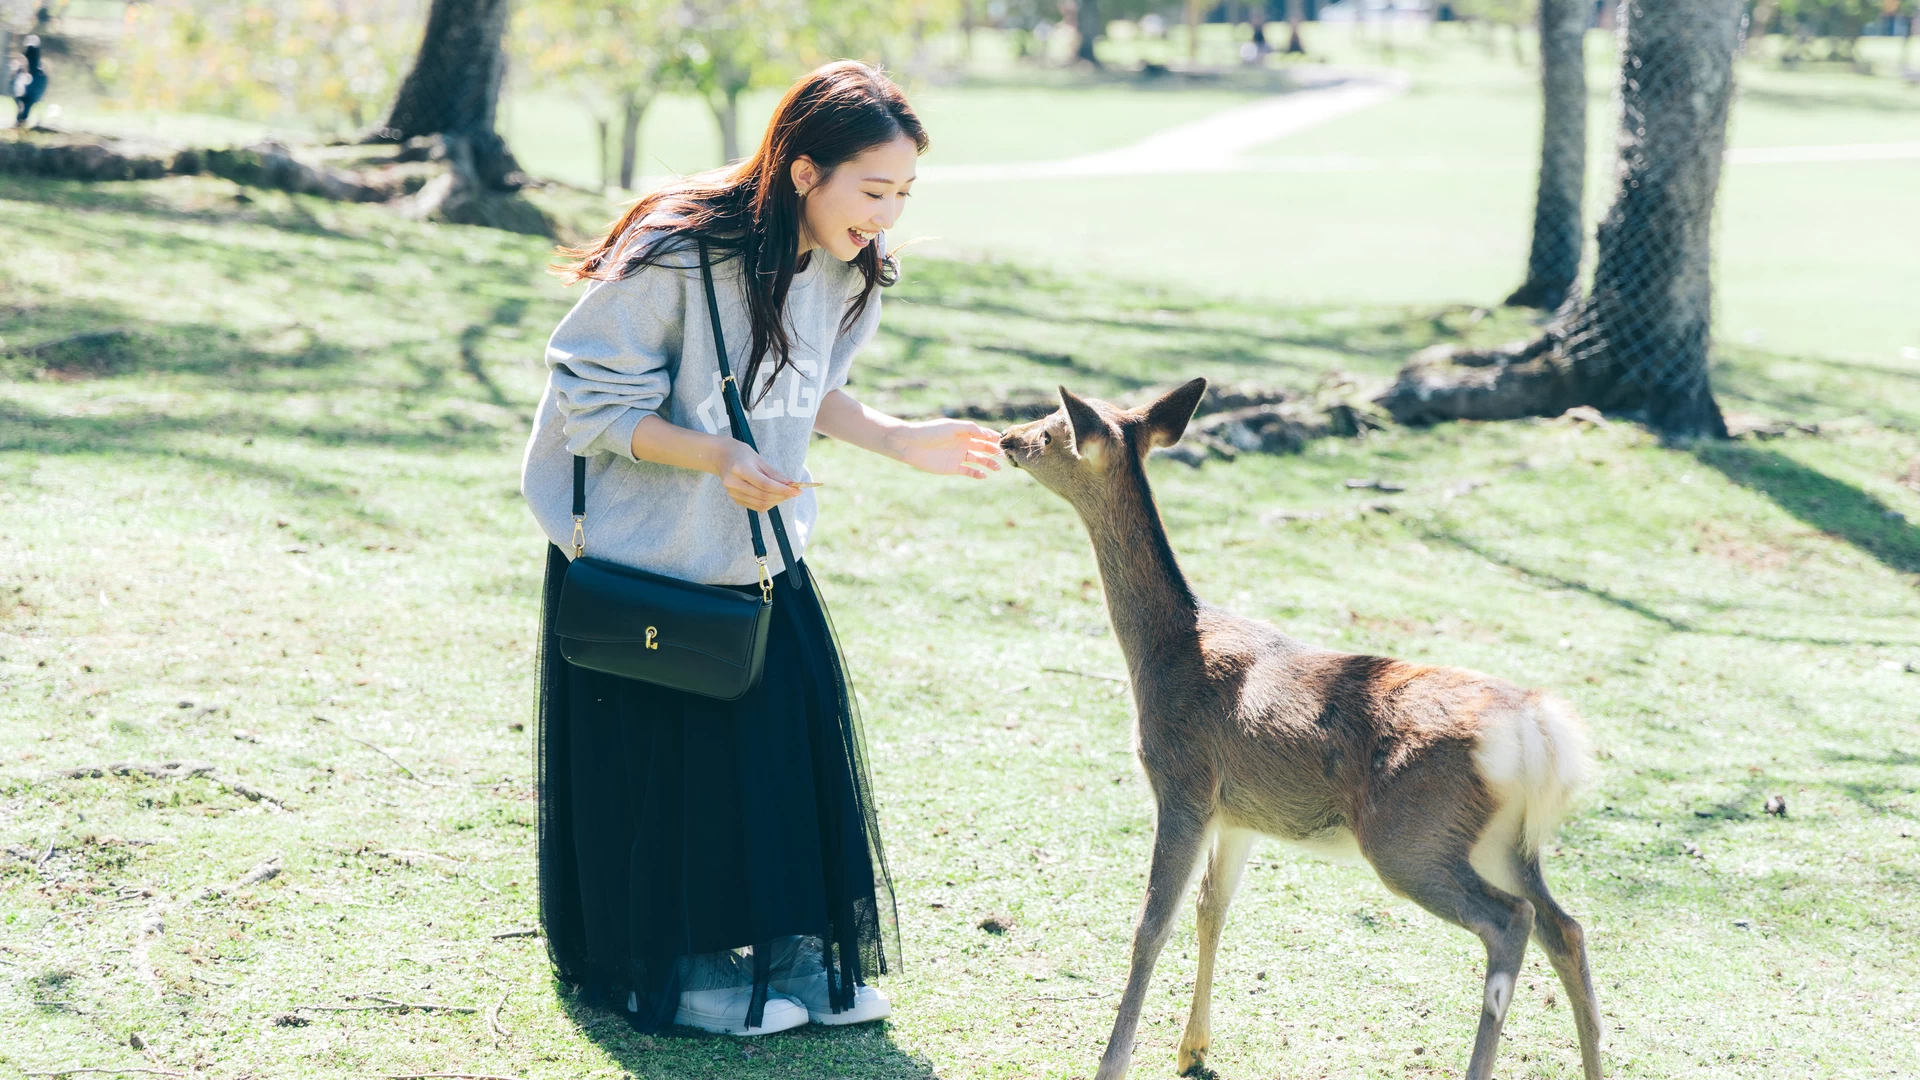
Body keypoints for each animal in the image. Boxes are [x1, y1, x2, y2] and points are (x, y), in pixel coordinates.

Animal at [999, 378, 1602, 1080]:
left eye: (1053, 428)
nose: (1005, 438)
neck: (1161, 652)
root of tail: (1538, 733)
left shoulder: (1183, 782)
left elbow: (1152, 926)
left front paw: (1113, 1062)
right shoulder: (1238, 813)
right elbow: (1212, 910)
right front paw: (1192, 1048)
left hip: (1410, 838)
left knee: (1511, 924)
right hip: (1505, 841)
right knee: (1566, 928)